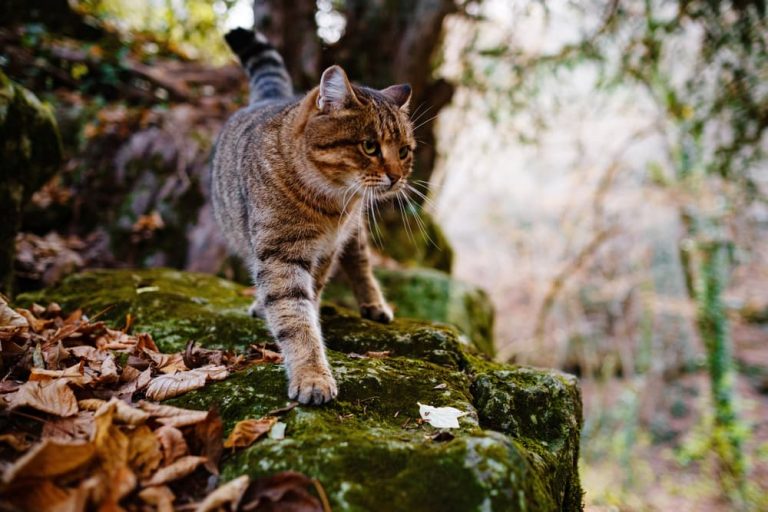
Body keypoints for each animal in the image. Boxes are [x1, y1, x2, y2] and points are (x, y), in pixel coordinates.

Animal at [210, 29, 414, 404]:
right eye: (369, 146)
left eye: (404, 151)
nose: (396, 177)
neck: (329, 203)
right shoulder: (280, 254)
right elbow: (294, 316)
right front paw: (312, 375)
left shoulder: (327, 248)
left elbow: (312, 296)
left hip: (354, 233)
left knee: (360, 262)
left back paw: (373, 303)